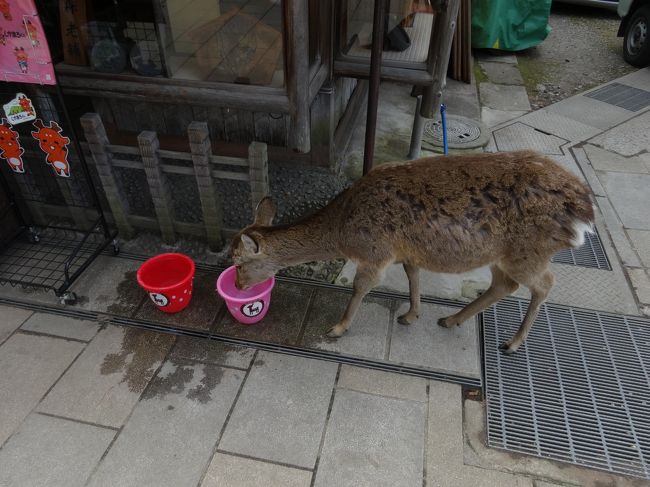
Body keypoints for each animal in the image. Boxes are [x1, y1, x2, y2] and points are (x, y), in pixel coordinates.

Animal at [230, 150, 594, 354]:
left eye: (238, 262)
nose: (236, 286)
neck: (343, 229)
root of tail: (584, 207)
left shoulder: (375, 251)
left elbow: (360, 287)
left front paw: (337, 328)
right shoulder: (404, 251)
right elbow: (412, 274)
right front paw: (410, 314)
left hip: (528, 252)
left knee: (544, 283)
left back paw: (512, 343)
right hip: (503, 256)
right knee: (505, 284)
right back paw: (451, 319)